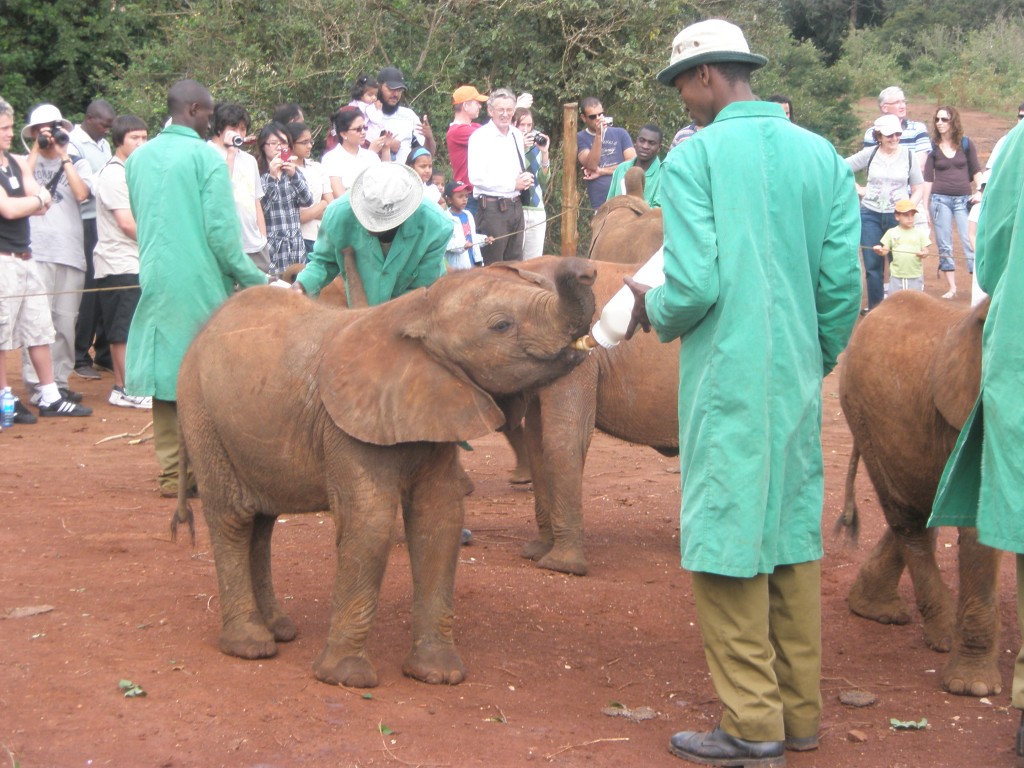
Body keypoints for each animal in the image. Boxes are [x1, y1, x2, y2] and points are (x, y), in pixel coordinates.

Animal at [172, 262, 598, 688]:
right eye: (501, 325)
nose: (584, 270)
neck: (416, 312)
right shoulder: (346, 427)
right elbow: (369, 523)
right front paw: (346, 678)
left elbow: (439, 521)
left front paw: (437, 675)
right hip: (201, 414)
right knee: (233, 520)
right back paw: (250, 645)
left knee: (262, 525)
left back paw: (280, 630)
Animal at [835, 290, 995, 696]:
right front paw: (974, 689)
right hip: (862, 412)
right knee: (908, 520)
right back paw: (941, 637)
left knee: (918, 510)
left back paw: (875, 610)